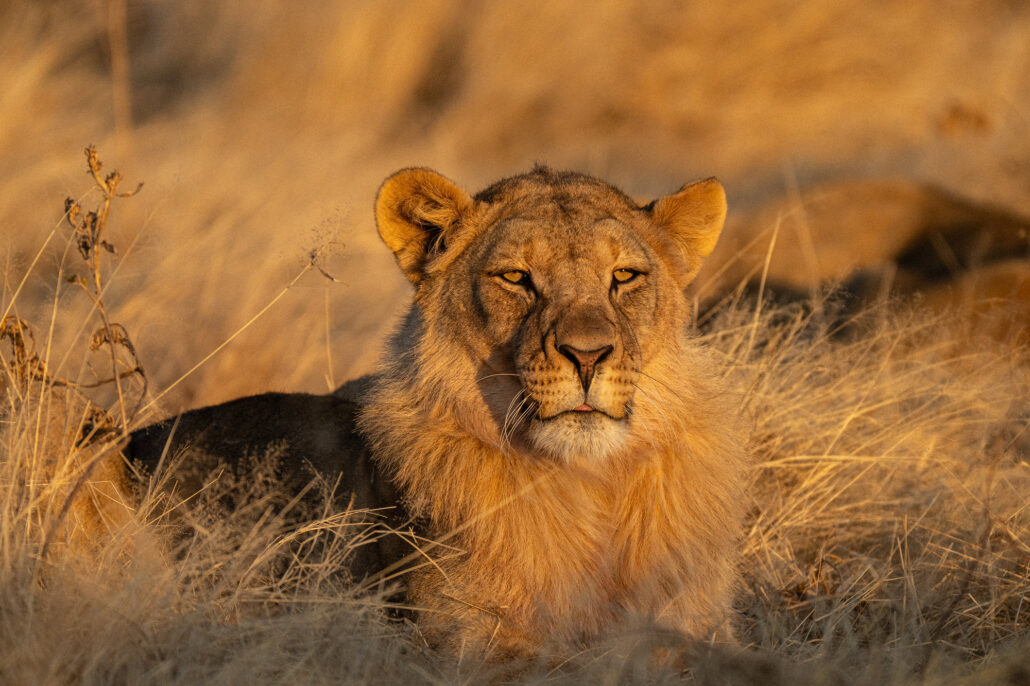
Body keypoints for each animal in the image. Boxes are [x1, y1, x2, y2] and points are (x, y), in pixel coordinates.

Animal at [126, 166, 750, 658]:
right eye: (516, 277)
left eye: (624, 276)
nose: (589, 354)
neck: (592, 484)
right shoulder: (462, 645)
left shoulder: (699, 618)